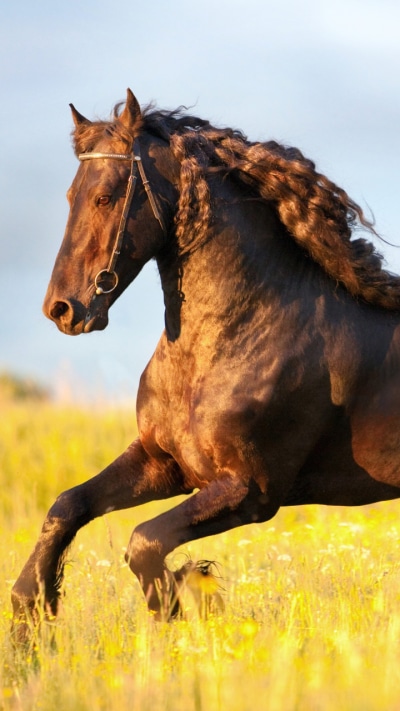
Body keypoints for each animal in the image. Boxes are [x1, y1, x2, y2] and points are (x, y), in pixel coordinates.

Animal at [12, 88, 400, 637]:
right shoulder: (164, 462)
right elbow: (68, 505)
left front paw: (188, 599)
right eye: (70, 196)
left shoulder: (249, 491)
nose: (62, 309)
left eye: (105, 196)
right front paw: (30, 613)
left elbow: (145, 544)